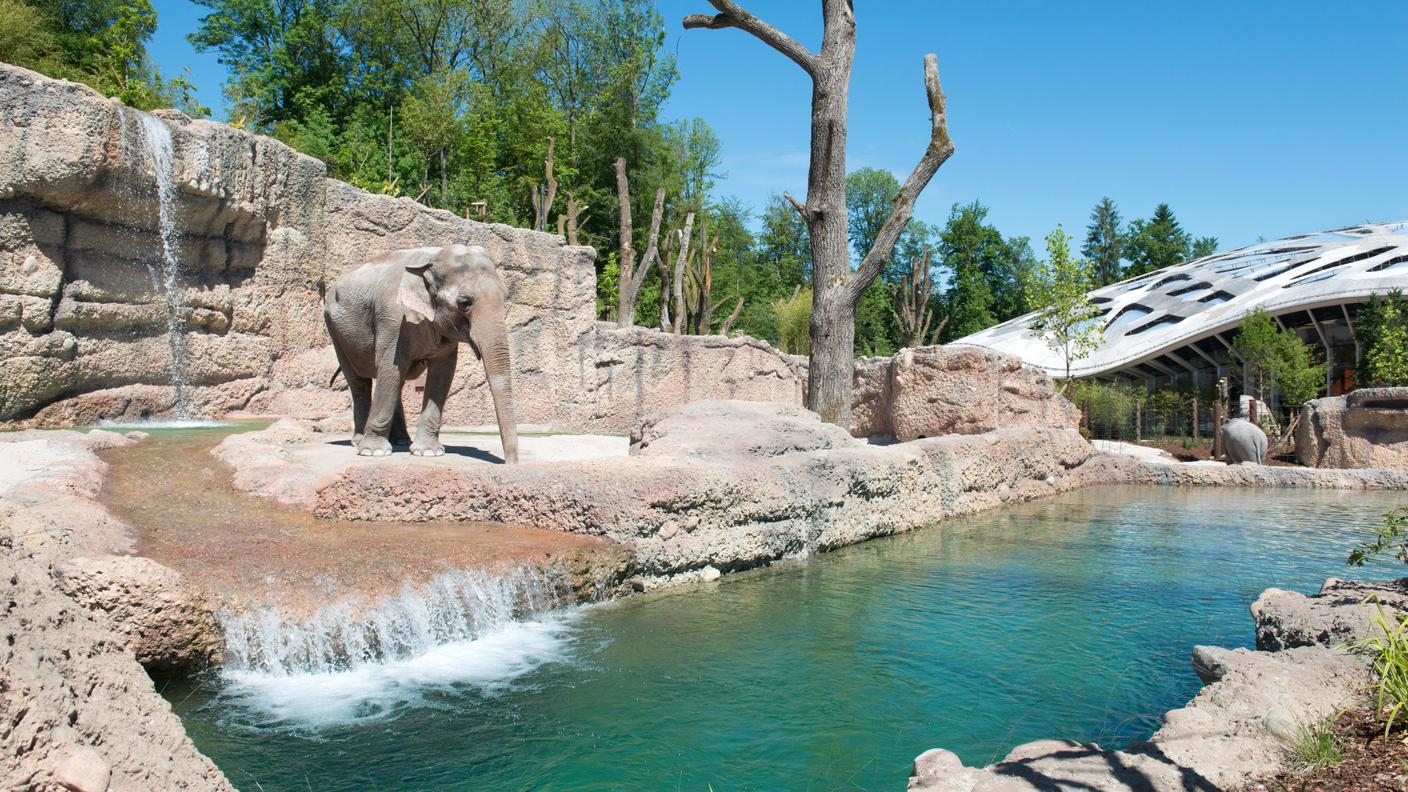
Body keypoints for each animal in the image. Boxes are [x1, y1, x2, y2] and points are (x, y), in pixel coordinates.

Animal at [322, 243, 520, 459]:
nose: (511, 463)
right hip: (335, 329)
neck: (433, 259)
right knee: (361, 383)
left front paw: (428, 452)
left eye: (505, 298)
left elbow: (442, 374)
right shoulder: (393, 320)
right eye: (464, 303)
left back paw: (400, 442)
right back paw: (359, 443)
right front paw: (374, 452)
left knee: (394, 383)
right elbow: (390, 367)